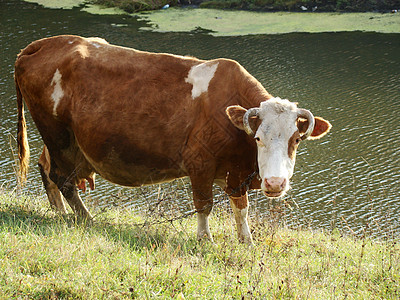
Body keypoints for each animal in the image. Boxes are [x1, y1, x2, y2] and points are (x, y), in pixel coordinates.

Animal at [14, 36, 332, 245]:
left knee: (47, 168)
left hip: (69, 144)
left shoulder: (235, 173)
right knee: (62, 178)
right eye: (257, 138)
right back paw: (82, 219)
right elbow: (204, 204)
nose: (275, 183)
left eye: (296, 140)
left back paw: (63, 214)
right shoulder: (199, 163)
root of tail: (43, 43)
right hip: (58, 136)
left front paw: (247, 242)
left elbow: (240, 208)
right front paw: (205, 240)